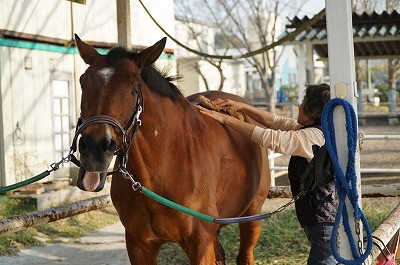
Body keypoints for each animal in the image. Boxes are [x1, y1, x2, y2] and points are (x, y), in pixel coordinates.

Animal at [73, 34, 270, 262]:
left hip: (252, 215)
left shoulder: (200, 244)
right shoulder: (139, 246)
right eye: (83, 82)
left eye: (134, 87)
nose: (95, 148)